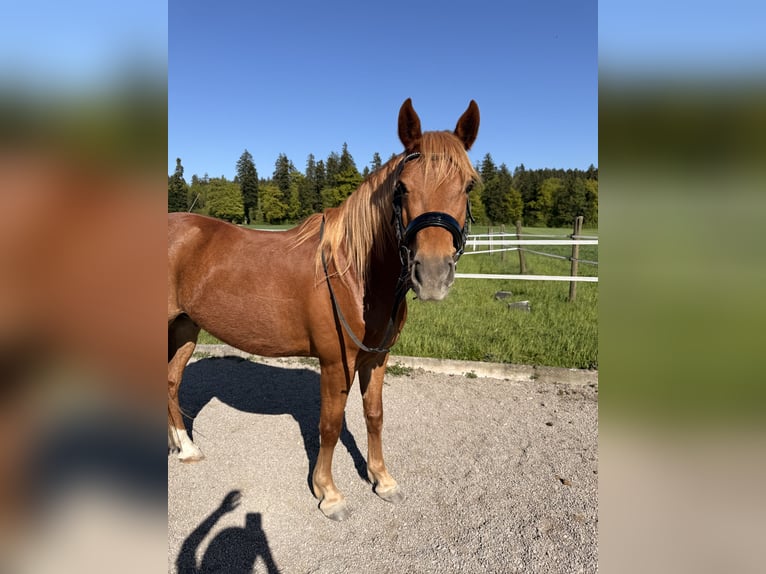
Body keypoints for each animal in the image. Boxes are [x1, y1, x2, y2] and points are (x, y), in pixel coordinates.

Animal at [168, 98, 480, 520]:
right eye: (402, 188)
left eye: (468, 185)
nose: (432, 274)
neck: (353, 273)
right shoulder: (336, 363)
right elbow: (330, 425)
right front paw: (329, 493)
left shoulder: (375, 360)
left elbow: (374, 416)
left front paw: (383, 480)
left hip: (185, 327)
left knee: (171, 382)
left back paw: (185, 448)